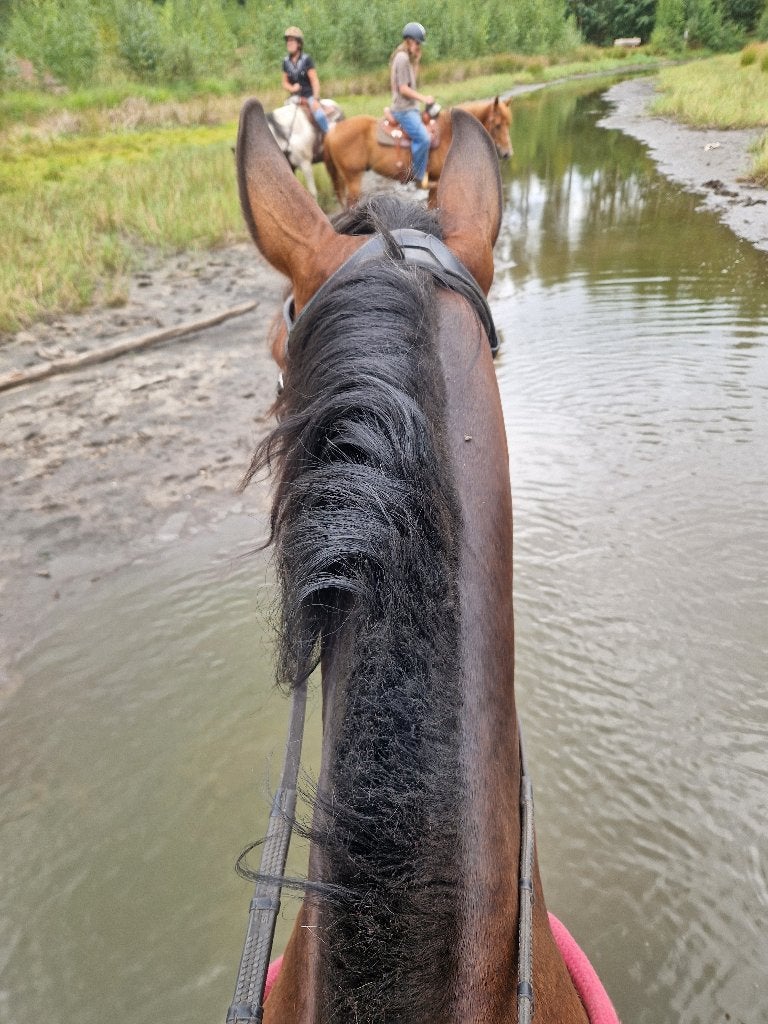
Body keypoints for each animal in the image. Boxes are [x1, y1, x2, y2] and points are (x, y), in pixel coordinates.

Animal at [323, 97, 513, 206]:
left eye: (508, 124)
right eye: (497, 125)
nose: (507, 154)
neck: (449, 133)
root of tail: (333, 130)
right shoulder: (437, 182)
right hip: (353, 179)